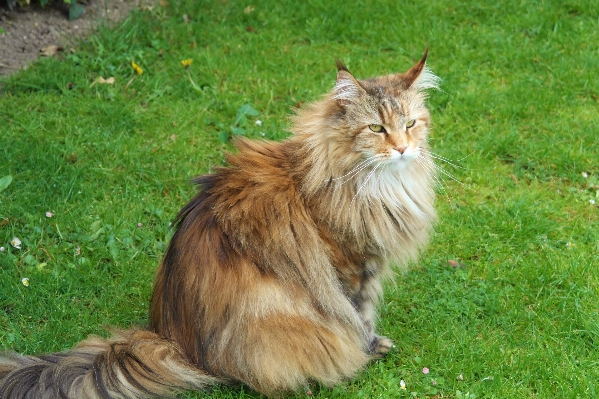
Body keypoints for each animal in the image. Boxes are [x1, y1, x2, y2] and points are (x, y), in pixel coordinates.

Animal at [0, 50, 440, 399]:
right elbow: (358, 317)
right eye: (376, 128)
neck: (374, 186)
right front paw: (370, 349)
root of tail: (174, 340)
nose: (403, 148)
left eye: (411, 124)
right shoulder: (350, 268)